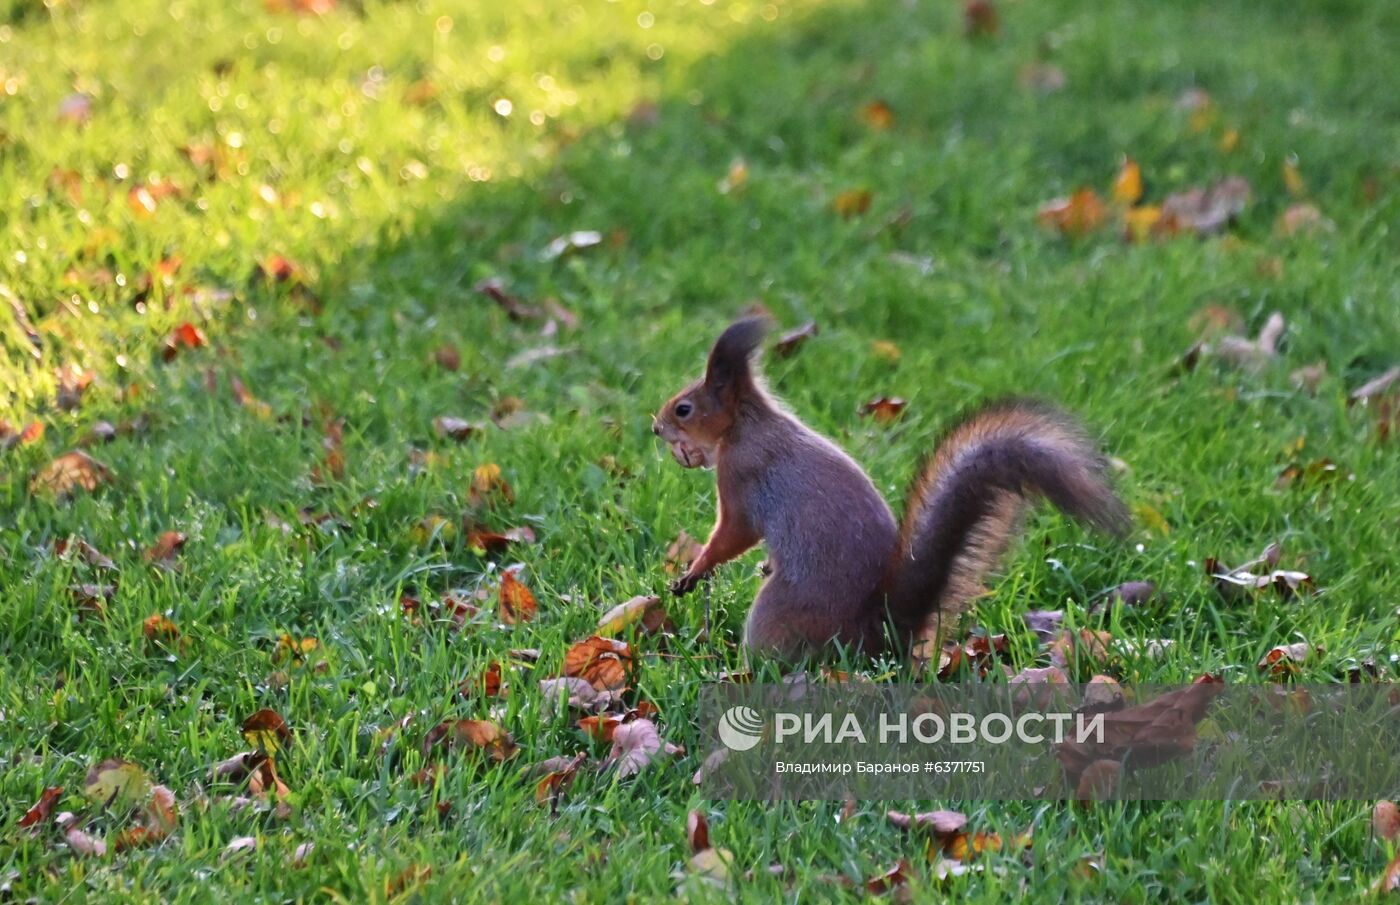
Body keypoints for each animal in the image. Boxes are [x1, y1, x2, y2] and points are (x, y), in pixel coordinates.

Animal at [652, 315, 1125, 664]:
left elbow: (733, 532)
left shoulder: (741, 475)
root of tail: (878, 633)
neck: (744, 424)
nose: (656, 427)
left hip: (780, 611)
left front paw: (695, 570)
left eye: (684, 409)